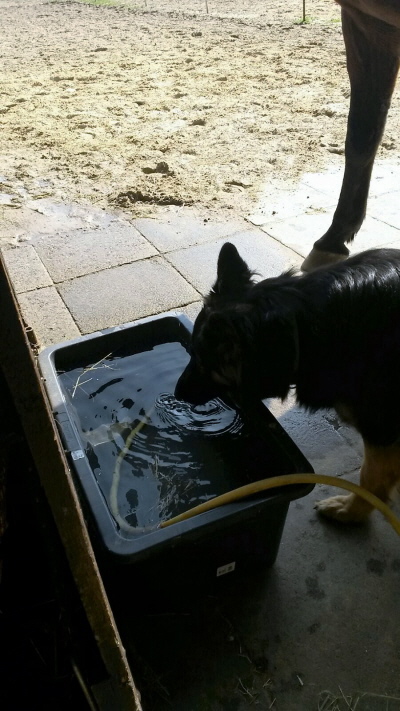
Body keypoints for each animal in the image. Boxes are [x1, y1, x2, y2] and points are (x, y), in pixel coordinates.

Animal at [175, 242, 400, 523]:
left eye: (200, 359)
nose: (176, 393)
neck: (304, 327)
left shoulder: (381, 429)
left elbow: (370, 479)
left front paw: (351, 512)